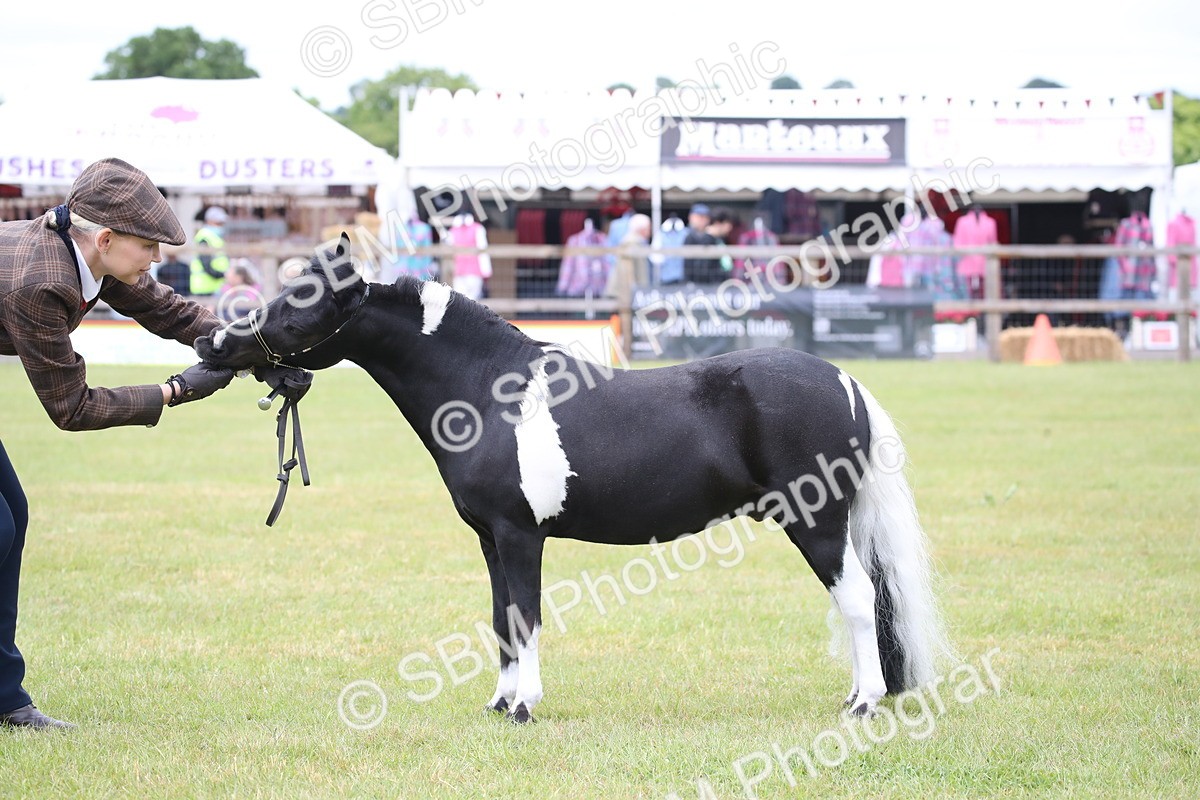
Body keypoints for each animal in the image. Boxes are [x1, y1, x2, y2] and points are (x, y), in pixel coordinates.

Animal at [196, 235, 951, 724]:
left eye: (300, 303)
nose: (212, 341)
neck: (486, 390)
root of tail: (844, 380)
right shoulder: (489, 539)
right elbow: (500, 618)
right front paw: (499, 701)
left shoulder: (520, 535)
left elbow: (526, 616)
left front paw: (524, 708)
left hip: (816, 522)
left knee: (856, 599)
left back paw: (863, 703)